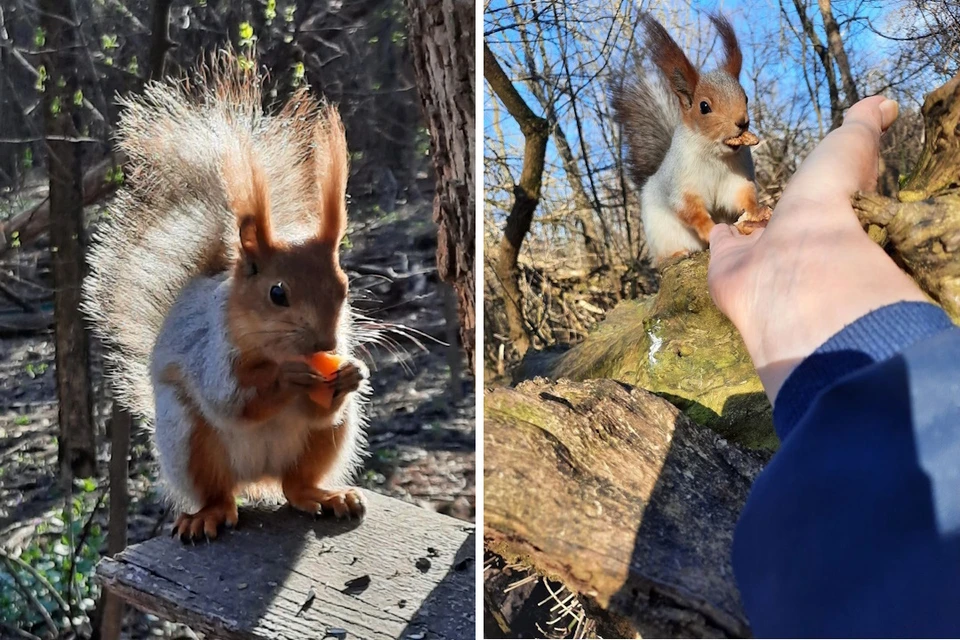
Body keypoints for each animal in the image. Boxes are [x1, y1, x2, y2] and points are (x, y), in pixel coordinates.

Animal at [82, 55, 372, 544]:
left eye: (344, 286)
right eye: (277, 293)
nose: (325, 346)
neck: (270, 352)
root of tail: (257, 477)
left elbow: (319, 410)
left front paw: (351, 373)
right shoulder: (212, 353)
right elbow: (232, 400)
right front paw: (289, 378)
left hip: (325, 442)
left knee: (296, 484)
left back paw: (326, 495)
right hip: (188, 440)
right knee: (218, 490)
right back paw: (207, 515)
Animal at [616, 13, 772, 266]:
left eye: (746, 97)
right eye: (704, 106)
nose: (742, 122)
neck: (715, 155)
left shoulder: (736, 178)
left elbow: (742, 194)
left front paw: (756, 211)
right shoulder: (682, 183)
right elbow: (688, 209)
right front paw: (709, 229)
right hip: (662, 235)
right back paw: (675, 254)